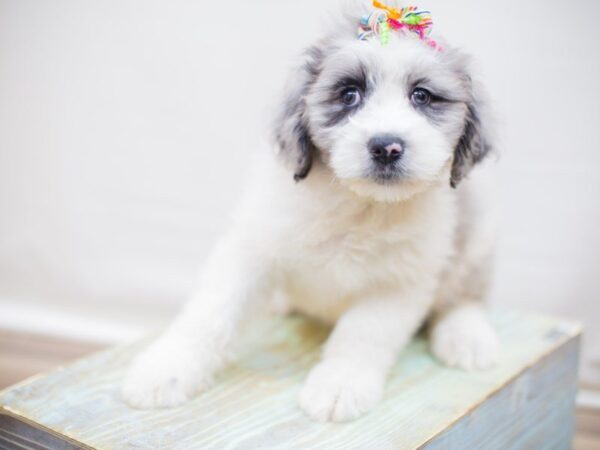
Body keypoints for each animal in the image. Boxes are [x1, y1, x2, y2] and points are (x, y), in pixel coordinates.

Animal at [122, 0, 502, 422]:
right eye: (350, 94)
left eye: (421, 96)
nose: (386, 147)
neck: (359, 204)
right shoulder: (251, 250)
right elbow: (212, 312)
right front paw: (167, 370)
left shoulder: (400, 281)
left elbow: (362, 334)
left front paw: (340, 385)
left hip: (478, 242)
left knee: (465, 298)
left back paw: (467, 337)